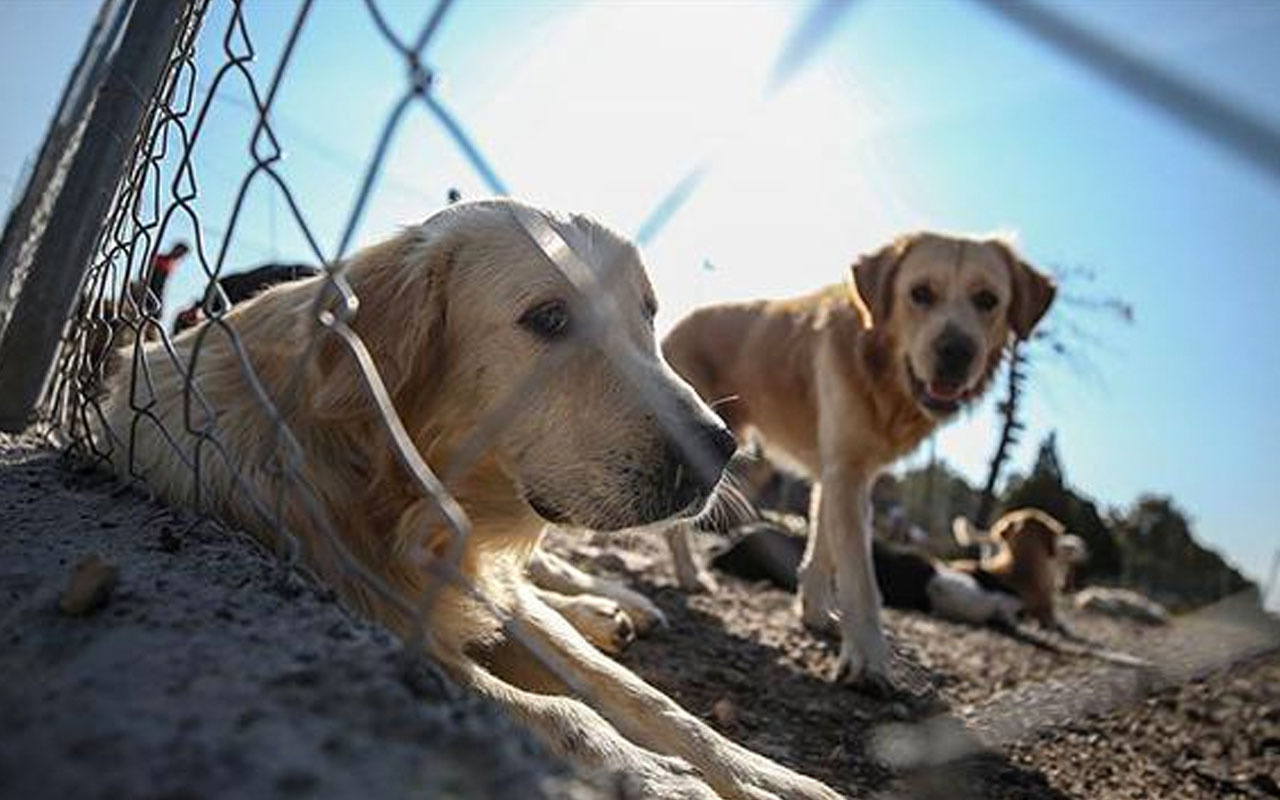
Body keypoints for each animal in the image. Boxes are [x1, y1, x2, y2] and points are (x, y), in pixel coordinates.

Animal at [94, 197, 844, 793]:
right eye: (550, 319)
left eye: (649, 316)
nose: (720, 450)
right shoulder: (370, 615)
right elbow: (561, 713)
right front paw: (659, 777)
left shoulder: (488, 584)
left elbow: (645, 699)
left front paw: (766, 775)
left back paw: (611, 605)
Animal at [660, 229, 1049, 686]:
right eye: (921, 293)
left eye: (987, 299)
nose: (956, 353)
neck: (881, 371)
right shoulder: (845, 471)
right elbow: (860, 575)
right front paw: (868, 657)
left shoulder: (841, 471)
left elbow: (823, 550)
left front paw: (815, 613)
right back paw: (689, 574)